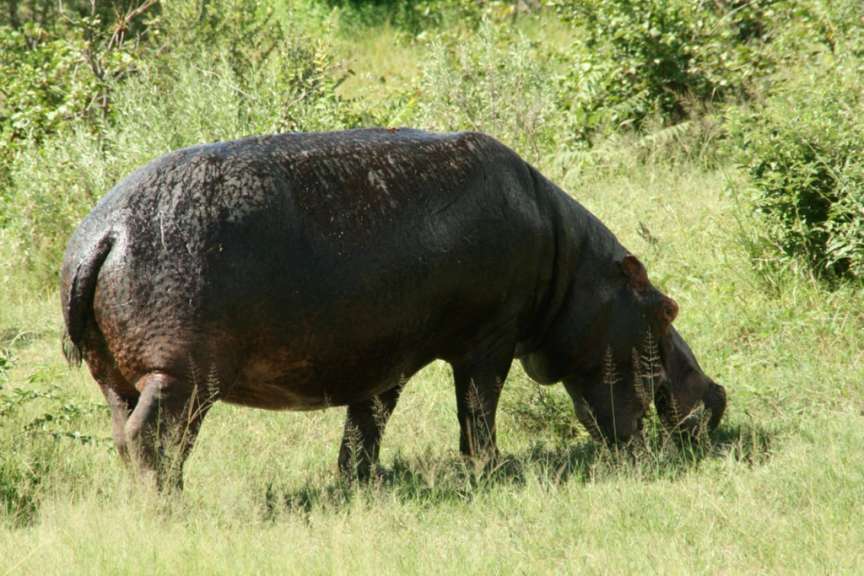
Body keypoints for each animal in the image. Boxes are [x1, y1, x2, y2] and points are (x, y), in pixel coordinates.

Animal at [61, 128, 694, 489]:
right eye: (668, 309)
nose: (710, 399)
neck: (568, 264)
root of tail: (102, 235)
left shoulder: (381, 355)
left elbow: (367, 423)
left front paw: (361, 482)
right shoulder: (489, 342)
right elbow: (477, 408)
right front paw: (491, 470)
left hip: (114, 375)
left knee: (122, 431)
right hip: (181, 375)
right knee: (150, 436)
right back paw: (169, 503)